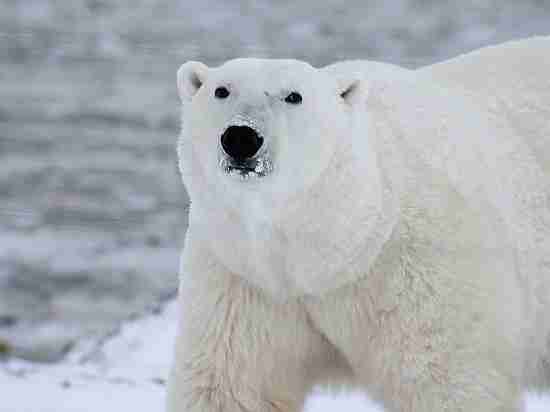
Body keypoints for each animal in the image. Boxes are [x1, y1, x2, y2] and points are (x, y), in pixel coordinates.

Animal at [168, 37, 550, 410]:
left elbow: (446, 379)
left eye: (294, 96)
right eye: (221, 90)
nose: (241, 137)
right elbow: (231, 385)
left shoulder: (419, 272)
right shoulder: (244, 276)